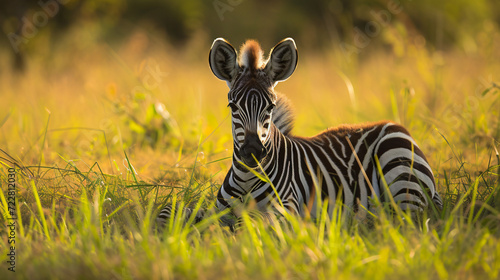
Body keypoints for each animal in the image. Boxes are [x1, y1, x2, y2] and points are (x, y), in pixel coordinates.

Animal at [156, 36, 442, 228]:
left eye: (270, 106)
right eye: (232, 106)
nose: (252, 152)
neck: (248, 178)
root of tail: (392, 124)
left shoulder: (286, 209)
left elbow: (255, 225)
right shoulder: (217, 210)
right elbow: (169, 210)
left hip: (401, 176)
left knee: (402, 221)